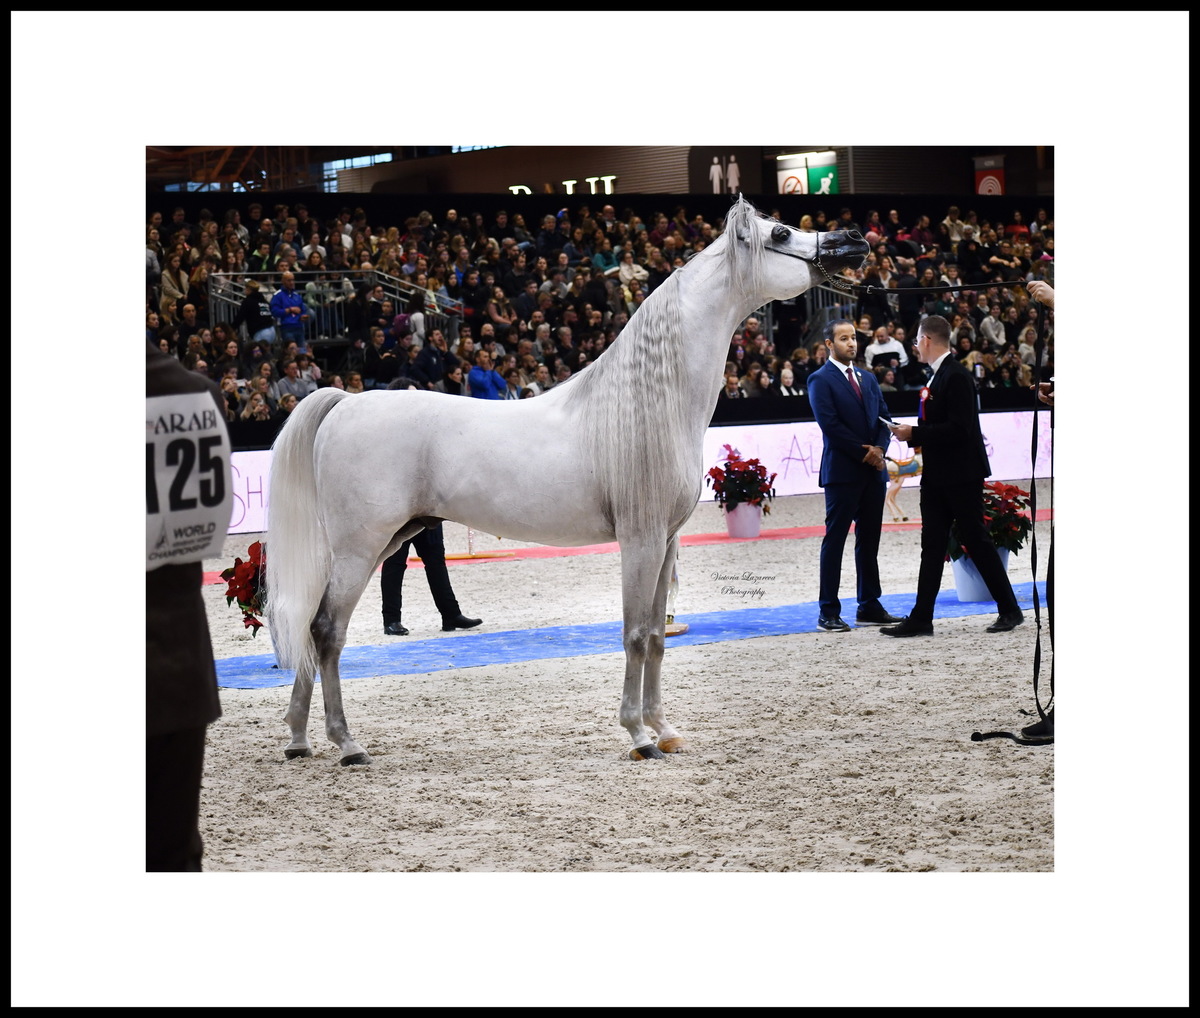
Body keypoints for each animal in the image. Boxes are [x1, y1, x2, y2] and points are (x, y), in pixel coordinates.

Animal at [265, 195, 868, 765]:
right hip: (359, 547)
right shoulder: (641, 539)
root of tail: (345, 402)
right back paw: (347, 744)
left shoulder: (666, 542)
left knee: (311, 626)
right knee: (326, 630)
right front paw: (638, 736)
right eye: (781, 233)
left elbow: (657, 637)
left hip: (385, 539)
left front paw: (665, 730)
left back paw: (297, 739)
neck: (649, 401)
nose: (854, 238)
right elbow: (634, 634)